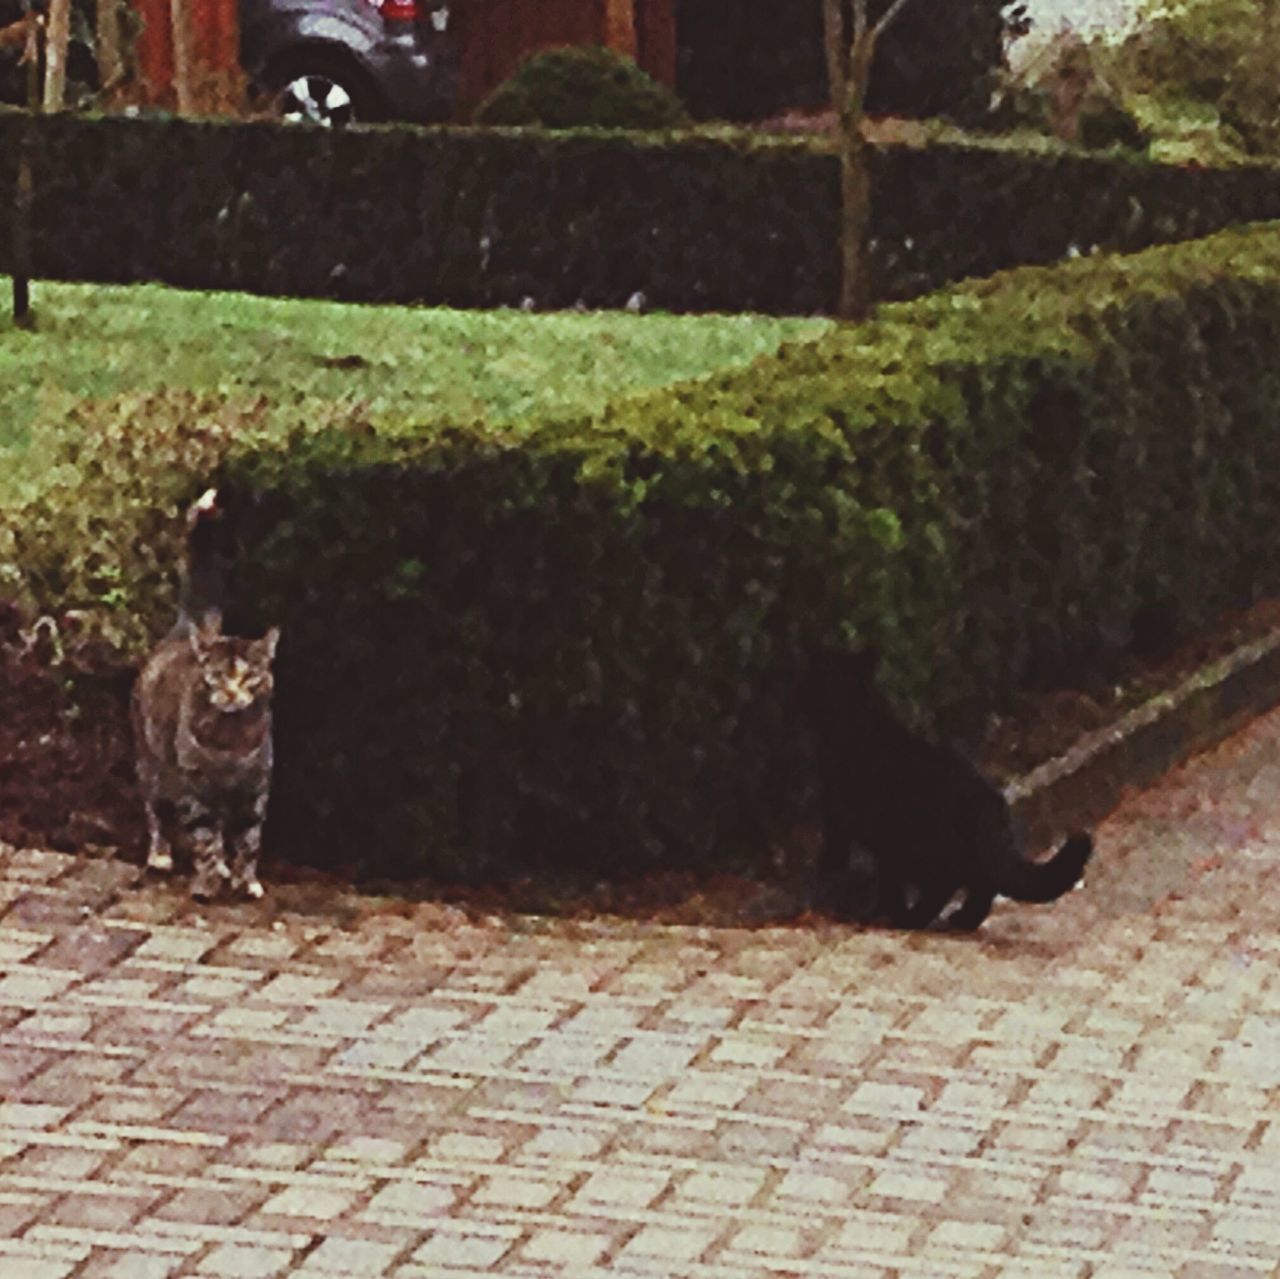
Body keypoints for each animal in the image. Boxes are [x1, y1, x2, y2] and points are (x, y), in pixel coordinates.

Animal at [131, 489, 279, 901]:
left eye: (251, 676)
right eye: (215, 676)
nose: (231, 693)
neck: (232, 740)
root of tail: (187, 628)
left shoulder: (255, 788)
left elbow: (249, 841)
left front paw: (246, 880)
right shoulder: (196, 790)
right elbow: (204, 839)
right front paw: (208, 880)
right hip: (151, 766)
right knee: (156, 812)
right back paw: (162, 855)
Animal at [808, 650, 1090, 932]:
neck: (855, 711)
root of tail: (987, 798)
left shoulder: (842, 820)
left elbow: (841, 861)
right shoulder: (879, 841)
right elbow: (887, 878)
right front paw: (884, 909)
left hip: (921, 845)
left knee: (949, 879)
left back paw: (915, 919)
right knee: (982, 881)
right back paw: (964, 920)